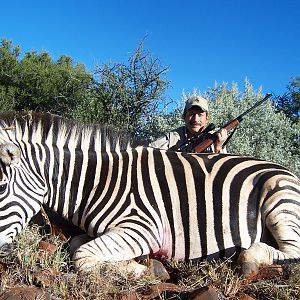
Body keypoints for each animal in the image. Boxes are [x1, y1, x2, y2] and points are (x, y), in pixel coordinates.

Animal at [0, 111, 298, 278]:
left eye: (1, 186)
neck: (97, 182)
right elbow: (76, 245)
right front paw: (133, 265)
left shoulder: (143, 228)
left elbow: (82, 255)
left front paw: (138, 269)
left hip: (279, 199)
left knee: (288, 251)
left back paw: (247, 260)